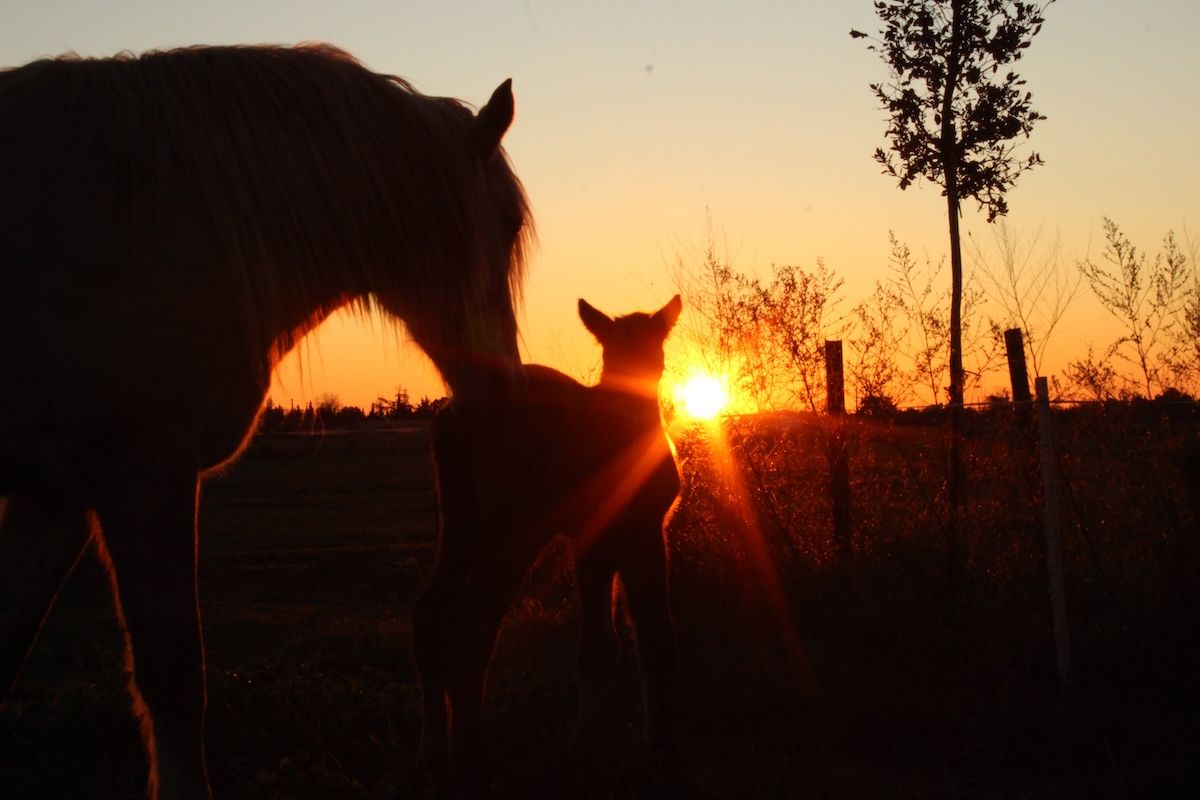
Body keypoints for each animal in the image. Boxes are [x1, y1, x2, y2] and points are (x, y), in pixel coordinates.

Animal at [0, 43, 530, 800]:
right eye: (508, 225)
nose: (506, 390)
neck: (175, 218)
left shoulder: (54, 496)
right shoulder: (144, 478)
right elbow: (174, 680)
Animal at [417, 296, 686, 796]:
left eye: (654, 346)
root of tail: (451, 419)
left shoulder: (592, 546)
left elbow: (600, 646)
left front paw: (585, 748)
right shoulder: (642, 535)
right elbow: (656, 639)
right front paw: (660, 752)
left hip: (460, 519)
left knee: (427, 612)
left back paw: (432, 756)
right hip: (512, 526)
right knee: (469, 622)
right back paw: (470, 765)